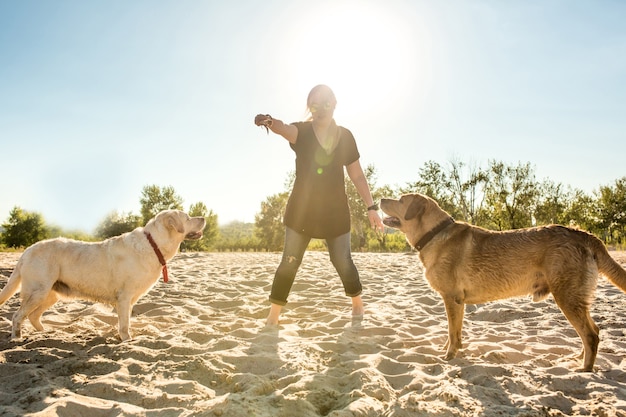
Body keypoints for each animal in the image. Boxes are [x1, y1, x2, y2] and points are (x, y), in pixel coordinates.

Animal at [0, 210, 205, 340]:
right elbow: (125, 324)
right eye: (188, 217)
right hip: (38, 291)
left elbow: (124, 321)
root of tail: (27, 251)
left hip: (51, 294)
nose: (203, 217)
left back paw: (45, 333)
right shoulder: (124, 297)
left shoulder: (128, 301)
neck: (153, 244)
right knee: (18, 316)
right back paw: (17, 339)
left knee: (33, 316)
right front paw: (127, 340)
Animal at [378, 193, 624, 370]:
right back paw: (580, 358)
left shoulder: (451, 298)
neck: (435, 233)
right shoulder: (458, 303)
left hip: (567, 297)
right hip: (575, 298)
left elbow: (451, 332)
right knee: (593, 331)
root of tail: (583, 233)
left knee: (590, 335)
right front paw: (454, 350)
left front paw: (449, 356)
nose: (380, 199)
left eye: (400, 200)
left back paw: (585, 369)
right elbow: (456, 331)